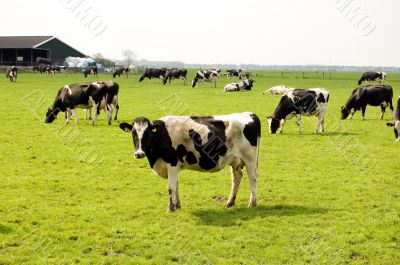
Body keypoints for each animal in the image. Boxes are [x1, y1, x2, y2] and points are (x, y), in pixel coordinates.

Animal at [120, 112, 260, 211]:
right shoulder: (174, 167)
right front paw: (177, 205)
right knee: (237, 178)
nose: (139, 154)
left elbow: (170, 187)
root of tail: (249, 114)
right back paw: (230, 202)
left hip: (250, 159)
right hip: (234, 160)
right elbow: (176, 186)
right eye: (133, 133)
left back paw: (252, 203)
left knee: (253, 178)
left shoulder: (172, 163)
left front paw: (170, 208)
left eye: (147, 133)